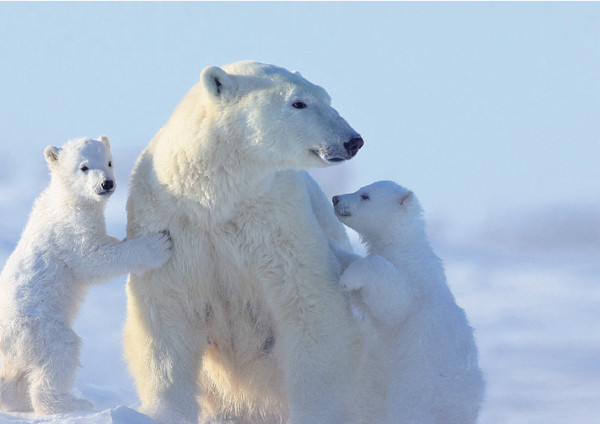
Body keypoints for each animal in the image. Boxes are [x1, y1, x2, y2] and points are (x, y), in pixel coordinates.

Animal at [126, 61, 366, 422]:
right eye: (298, 102)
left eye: (326, 97)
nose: (353, 140)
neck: (215, 199)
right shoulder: (171, 226)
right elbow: (166, 316)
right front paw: (165, 411)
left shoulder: (277, 223)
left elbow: (308, 307)